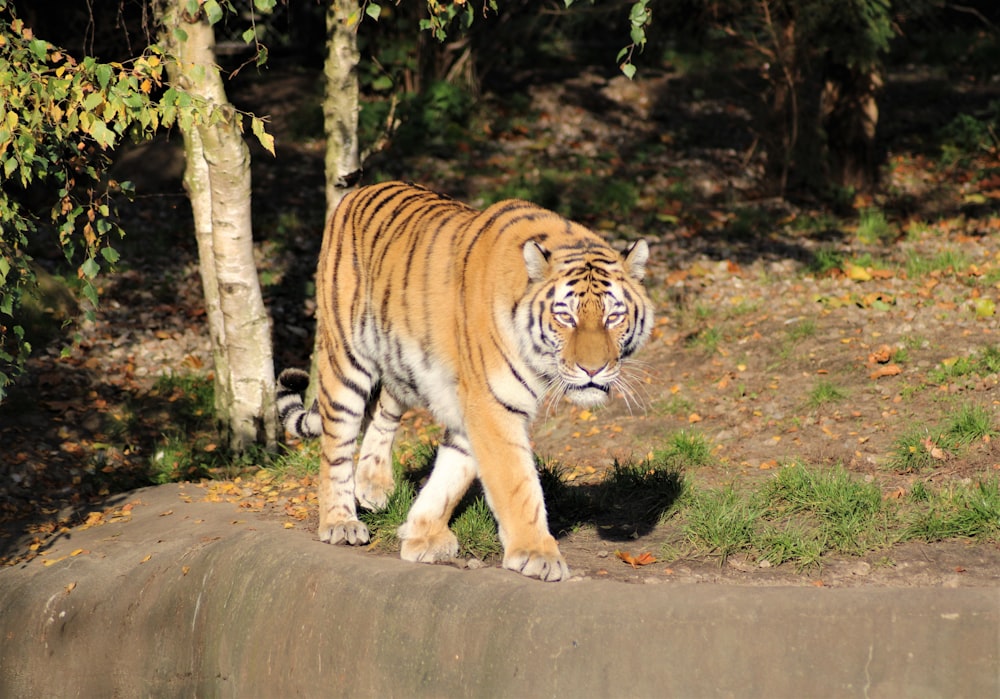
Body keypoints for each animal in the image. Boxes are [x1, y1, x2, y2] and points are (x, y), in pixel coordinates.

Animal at [280, 179, 656, 580]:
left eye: (613, 317)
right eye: (565, 318)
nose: (592, 369)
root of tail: (358, 190)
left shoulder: (472, 405)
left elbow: (452, 473)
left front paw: (422, 534)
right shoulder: (492, 404)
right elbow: (517, 483)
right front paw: (537, 554)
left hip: (401, 361)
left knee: (383, 410)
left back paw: (373, 485)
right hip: (345, 357)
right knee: (336, 443)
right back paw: (340, 522)